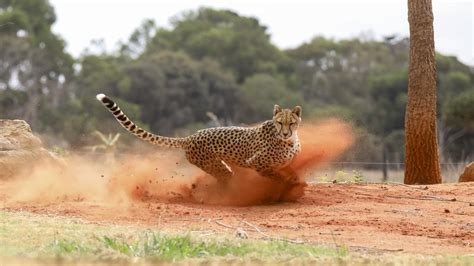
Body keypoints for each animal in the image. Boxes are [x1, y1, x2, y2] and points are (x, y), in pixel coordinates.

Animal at [96, 93, 302, 183]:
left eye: (291, 123)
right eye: (279, 122)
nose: (285, 132)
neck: (288, 140)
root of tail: (190, 136)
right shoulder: (256, 162)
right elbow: (277, 175)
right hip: (215, 166)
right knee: (225, 179)